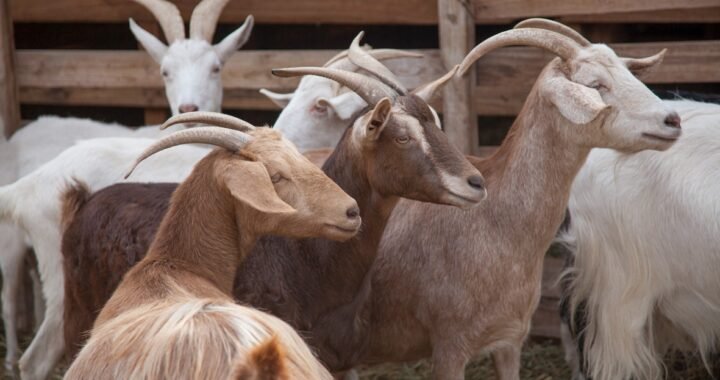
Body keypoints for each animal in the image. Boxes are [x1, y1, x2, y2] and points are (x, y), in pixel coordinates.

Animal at [346, 19, 684, 378]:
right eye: (595, 84)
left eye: (628, 72)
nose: (672, 120)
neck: (495, 225)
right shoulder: (449, 347)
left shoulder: (510, 339)